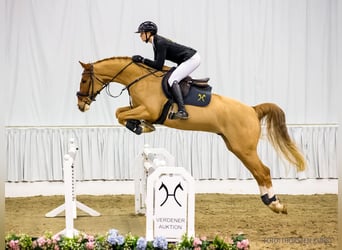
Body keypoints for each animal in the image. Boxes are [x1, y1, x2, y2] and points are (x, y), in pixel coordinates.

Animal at [77, 56, 304, 213]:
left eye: (84, 81)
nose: (81, 105)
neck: (138, 79)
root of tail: (252, 109)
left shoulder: (148, 110)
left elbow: (121, 115)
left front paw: (141, 126)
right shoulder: (140, 109)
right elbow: (119, 113)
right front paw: (140, 126)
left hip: (244, 148)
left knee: (263, 171)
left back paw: (276, 205)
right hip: (236, 147)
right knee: (258, 172)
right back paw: (270, 202)